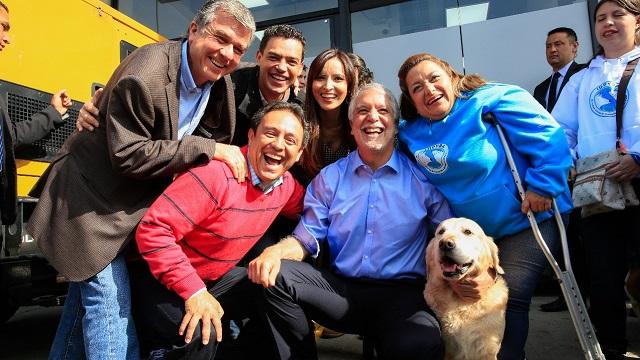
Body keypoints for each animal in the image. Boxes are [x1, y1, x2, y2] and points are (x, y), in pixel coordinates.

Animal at [424, 217, 510, 360]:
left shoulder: (488, 348)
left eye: (468, 232)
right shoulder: (450, 348)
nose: (445, 244)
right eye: (441, 232)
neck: (462, 302)